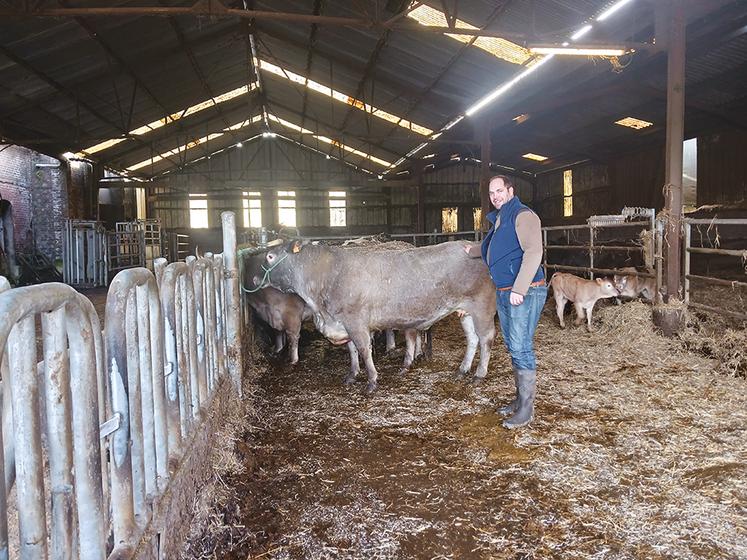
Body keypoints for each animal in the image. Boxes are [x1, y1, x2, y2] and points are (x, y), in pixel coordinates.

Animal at [262, 238, 496, 392]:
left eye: (270, 256)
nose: (255, 280)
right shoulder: (343, 324)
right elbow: (352, 350)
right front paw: (352, 375)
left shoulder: (355, 321)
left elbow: (364, 350)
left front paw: (372, 381)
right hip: (465, 311)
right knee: (472, 339)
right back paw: (462, 370)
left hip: (482, 306)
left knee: (485, 339)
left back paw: (479, 374)